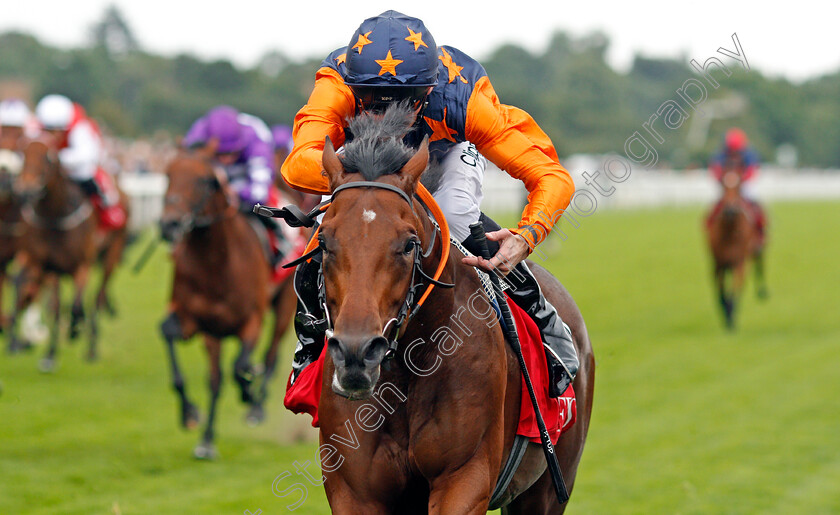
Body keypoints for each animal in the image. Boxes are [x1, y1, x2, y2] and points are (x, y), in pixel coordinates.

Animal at [6, 139, 130, 368]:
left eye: (48, 158)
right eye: (23, 154)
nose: (25, 190)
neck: (56, 217)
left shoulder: (82, 266)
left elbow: (76, 306)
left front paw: (74, 328)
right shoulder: (49, 267)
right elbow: (55, 309)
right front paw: (49, 355)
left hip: (111, 255)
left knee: (97, 298)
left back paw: (91, 348)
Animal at [159, 145, 300, 460]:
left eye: (203, 180)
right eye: (168, 174)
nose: (169, 225)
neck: (216, 262)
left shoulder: (252, 321)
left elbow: (240, 366)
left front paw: (248, 392)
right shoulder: (202, 324)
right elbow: (206, 374)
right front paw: (197, 424)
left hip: (285, 305)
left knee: (271, 354)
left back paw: (256, 405)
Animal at [704, 167, 764, 328]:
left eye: (739, 185)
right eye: (723, 184)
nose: (730, 210)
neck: (730, 232)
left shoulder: (739, 262)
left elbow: (735, 290)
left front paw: (731, 314)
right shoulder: (718, 264)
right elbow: (720, 291)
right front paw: (725, 311)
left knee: (759, 266)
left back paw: (763, 292)